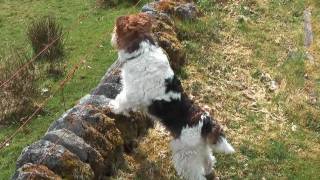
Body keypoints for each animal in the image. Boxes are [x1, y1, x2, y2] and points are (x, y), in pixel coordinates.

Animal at [109, 13, 234, 180]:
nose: (112, 36)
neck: (143, 51)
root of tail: (206, 123)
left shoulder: (132, 93)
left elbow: (121, 101)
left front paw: (113, 107)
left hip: (185, 155)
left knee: (196, 174)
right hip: (200, 149)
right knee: (209, 160)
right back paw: (210, 171)